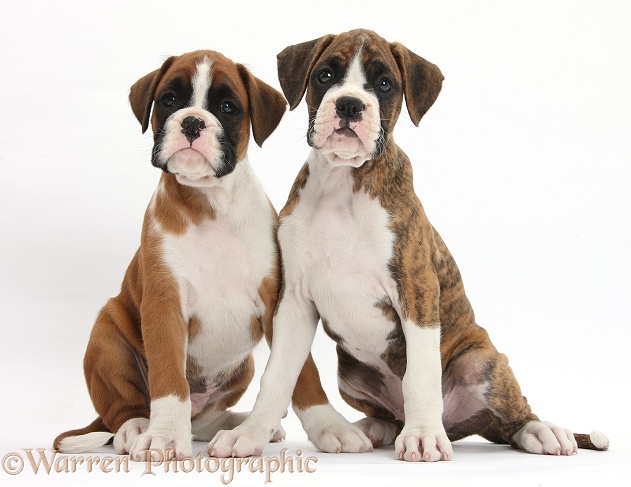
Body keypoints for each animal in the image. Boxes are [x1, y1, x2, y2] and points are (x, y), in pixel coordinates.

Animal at [54, 49, 286, 462]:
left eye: (228, 107)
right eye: (169, 100)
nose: (192, 121)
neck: (210, 203)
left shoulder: (272, 299)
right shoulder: (164, 305)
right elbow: (168, 379)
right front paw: (163, 436)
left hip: (241, 367)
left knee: (203, 420)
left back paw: (232, 423)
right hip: (106, 337)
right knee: (123, 410)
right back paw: (137, 428)